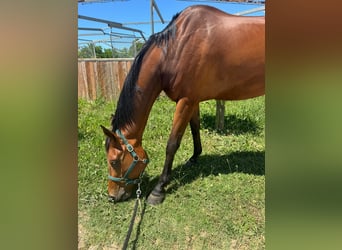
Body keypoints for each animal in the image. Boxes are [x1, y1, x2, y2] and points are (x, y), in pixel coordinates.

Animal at [100, 5, 266, 205]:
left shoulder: (185, 101)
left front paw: (159, 189)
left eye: (114, 161)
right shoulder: (193, 100)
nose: (112, 196)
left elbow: (172, 143)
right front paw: (194, 157)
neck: (175, 48)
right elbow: (195, 129)